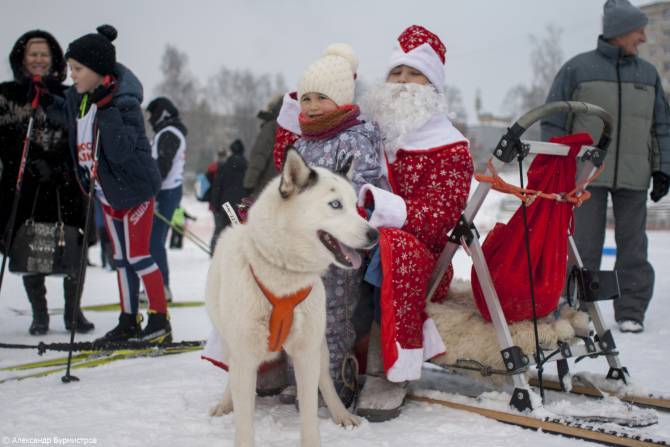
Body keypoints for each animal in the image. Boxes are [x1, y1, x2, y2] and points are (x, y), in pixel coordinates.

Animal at [206, 149, 378, 446]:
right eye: (335, 204)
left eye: (355, 204)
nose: (374, 234)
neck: (282, 276)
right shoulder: (244, 355)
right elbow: (244, 422)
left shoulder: (306, 353)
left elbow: (309, 414)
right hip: (230, 341)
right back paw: (225, 404)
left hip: (318, 343)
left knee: (326, 380)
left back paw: (341, 414)